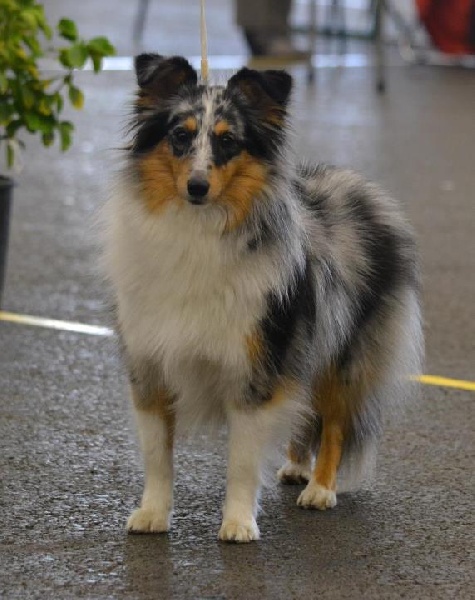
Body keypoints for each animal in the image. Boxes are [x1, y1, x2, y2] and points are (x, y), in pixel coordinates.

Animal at [101, 54, 423, 542]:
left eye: (228, 141)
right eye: (180, 135)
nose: (197, 187)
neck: (197, 231)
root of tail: (363, 191)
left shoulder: (256, 369)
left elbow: (242, 460)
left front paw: (237, 523)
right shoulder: (149, 365)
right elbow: (158, 455)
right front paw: (152, 514)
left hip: (343, 355)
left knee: (333, 422)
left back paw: (320, 489)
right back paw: (296, 467)